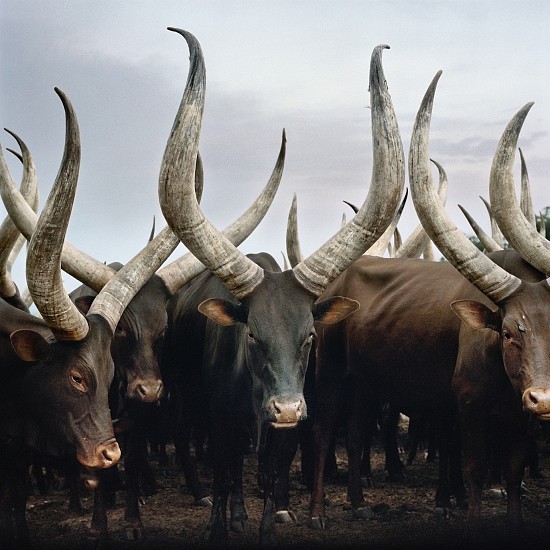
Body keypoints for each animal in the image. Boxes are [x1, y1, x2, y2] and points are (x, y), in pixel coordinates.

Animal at [156, 29, 406, 548]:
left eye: (310, 335)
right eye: (251, 334)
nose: (287, 407)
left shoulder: (286, 433)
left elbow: (272, 478)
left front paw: (269, 524)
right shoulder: (220, 423)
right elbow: (226, 475)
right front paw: (222, 526)